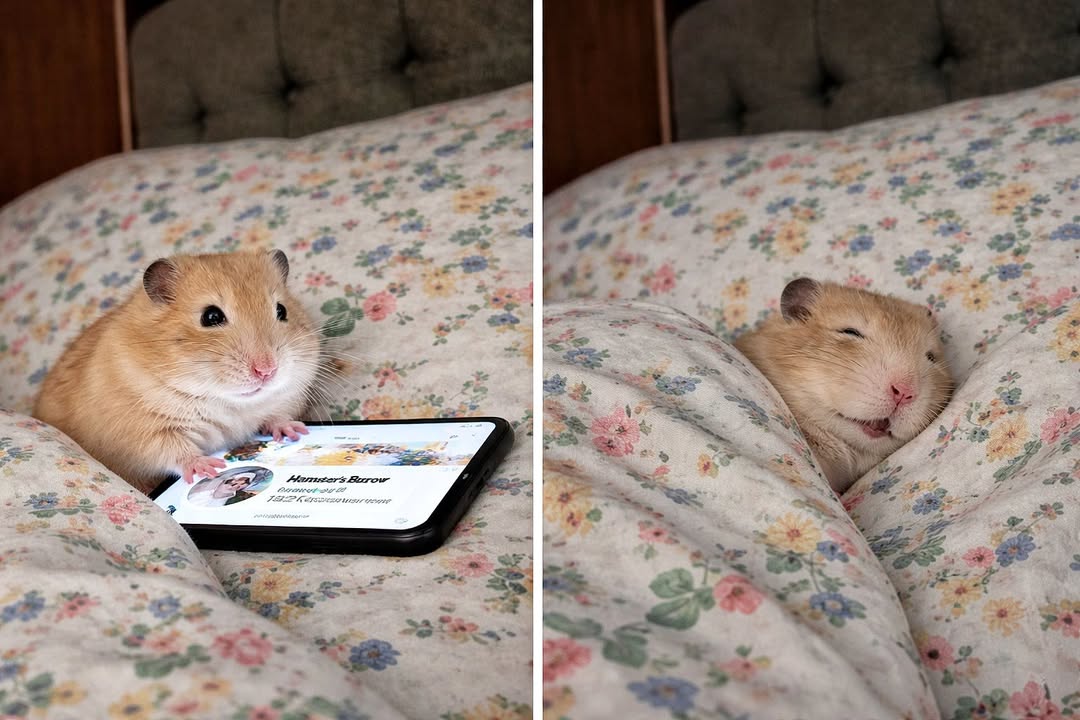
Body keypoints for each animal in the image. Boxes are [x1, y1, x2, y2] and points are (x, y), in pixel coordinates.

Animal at [34, 250, 322, 494]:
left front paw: (295, 431)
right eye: (211, 316)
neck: (227, 400)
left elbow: (277, 416)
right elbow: (175, 451)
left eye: (281, 310)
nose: (267, 370)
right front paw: (210, 467)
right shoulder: (144, 432)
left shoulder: (286, 398)